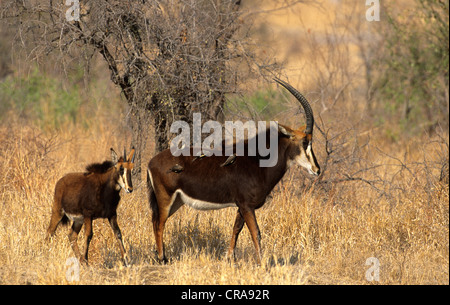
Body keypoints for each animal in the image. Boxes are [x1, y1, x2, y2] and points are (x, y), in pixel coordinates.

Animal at [148, 79, 320, 264]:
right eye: (305, 142)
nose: (317, 169)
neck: (258, 161)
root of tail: (151, 162)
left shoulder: (242, 206)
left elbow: (236, 229)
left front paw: (230, 257)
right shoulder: (246, 205)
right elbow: (256, 232)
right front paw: (262, 263)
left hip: (177, 201)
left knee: (156, 221)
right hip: (166, 198)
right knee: (159, 223)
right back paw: (162, 258)